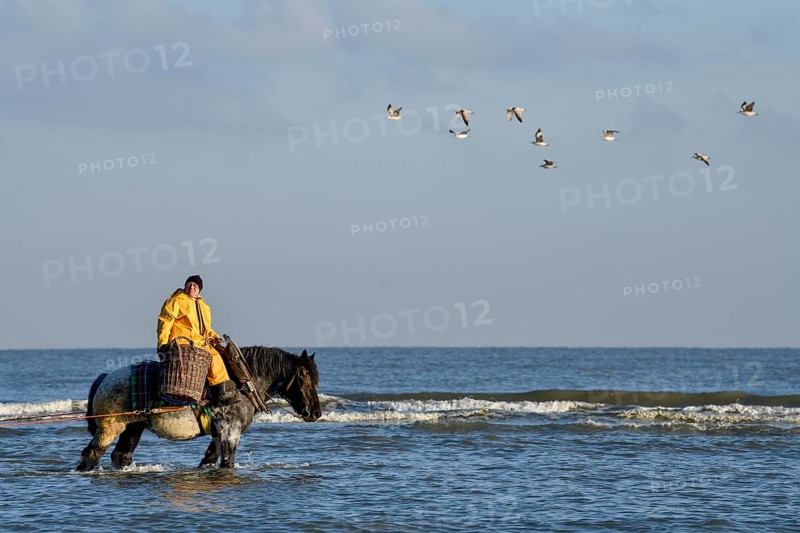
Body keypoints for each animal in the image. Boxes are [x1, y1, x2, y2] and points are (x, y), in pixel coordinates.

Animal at [76, 346, 321, 471]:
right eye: (304, 377)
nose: (316, 413)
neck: (242, 385)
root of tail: (106, 377)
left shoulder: (219, 434)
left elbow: (209, 460)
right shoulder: (231, 432)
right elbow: (227, 462)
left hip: (133, 427)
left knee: (121, 455)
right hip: (109, 428)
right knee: (91, 455)